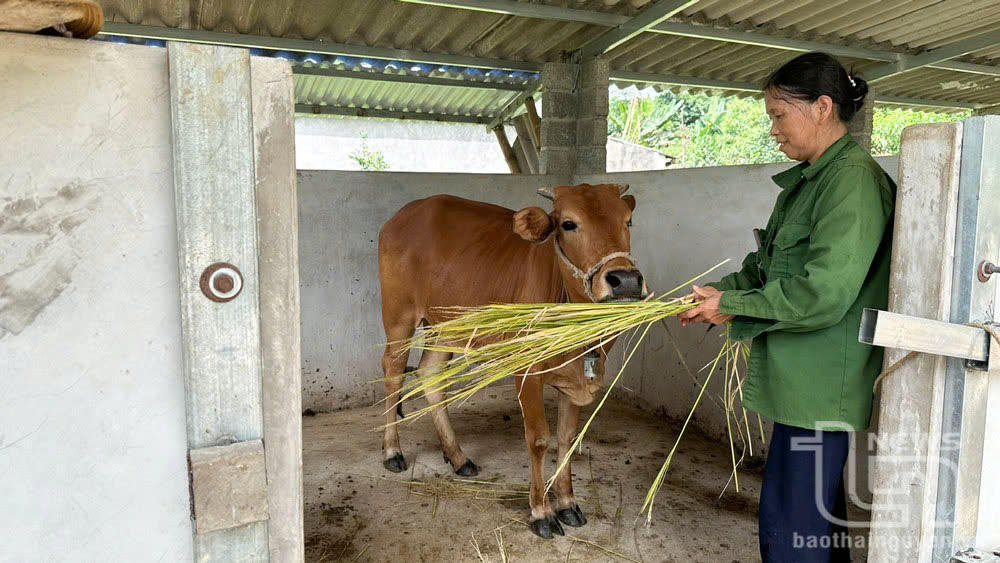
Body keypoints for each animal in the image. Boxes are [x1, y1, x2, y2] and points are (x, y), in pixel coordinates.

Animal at [376, 184, 648, 536]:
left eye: (628, 221)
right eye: (568, 224)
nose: (625, 280)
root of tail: (405, 214)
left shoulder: (578, 378)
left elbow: (566, 439)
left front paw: (567, 503)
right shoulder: (527, 371)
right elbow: (539, 439)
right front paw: (541, 512)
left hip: (447, 325)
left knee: (431, 377)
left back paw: (458, 457)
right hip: (399, 317)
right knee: (393, 372)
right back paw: (392, 451)